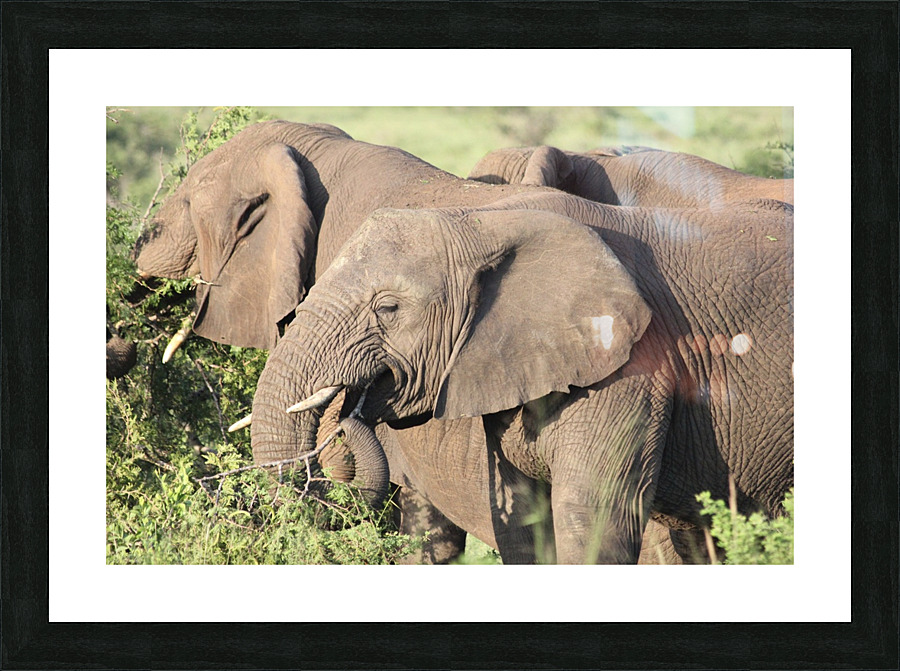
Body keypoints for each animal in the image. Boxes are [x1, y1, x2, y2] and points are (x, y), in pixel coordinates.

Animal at [249, 190, 793, 564]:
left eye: (388, 308)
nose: (350, 411)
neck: (486, 220)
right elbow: (526, 526)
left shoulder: (635, 367)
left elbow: (593, 520)